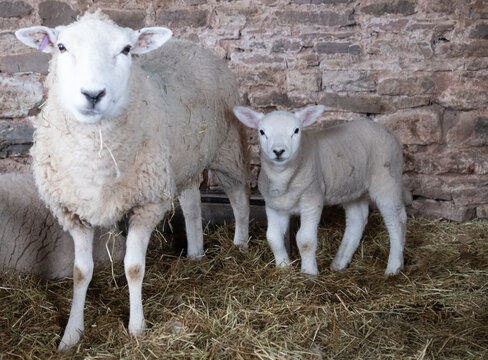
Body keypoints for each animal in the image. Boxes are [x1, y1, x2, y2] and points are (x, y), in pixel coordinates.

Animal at [16, 11, 250, 352]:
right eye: (61, 47)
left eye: (126, 49)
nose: (93, 94)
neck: (97, 154)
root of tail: (189, 43)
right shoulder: (74, 212)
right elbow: (80, 272)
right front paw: (71, 334)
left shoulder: (146, 204)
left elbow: (134, 268)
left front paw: (137, 328)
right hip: (183, 161)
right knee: (192, 203)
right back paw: (195, 254)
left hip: (227, 147)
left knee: (239, 197)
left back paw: (241, 244)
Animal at [234, 105, 406, 278]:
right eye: (262, 131)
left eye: (296, 130)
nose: (278, 151)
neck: (283, 176)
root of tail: (382, 127)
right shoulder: (274, 205)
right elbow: (273, 238)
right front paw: (283, 268)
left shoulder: (312, 199)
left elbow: (305, 239)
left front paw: (308, 273)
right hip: (351, 186)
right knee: (358, 219)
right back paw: (339, 263)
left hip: (386, 179)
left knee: (397, 220)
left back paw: (394, 267)